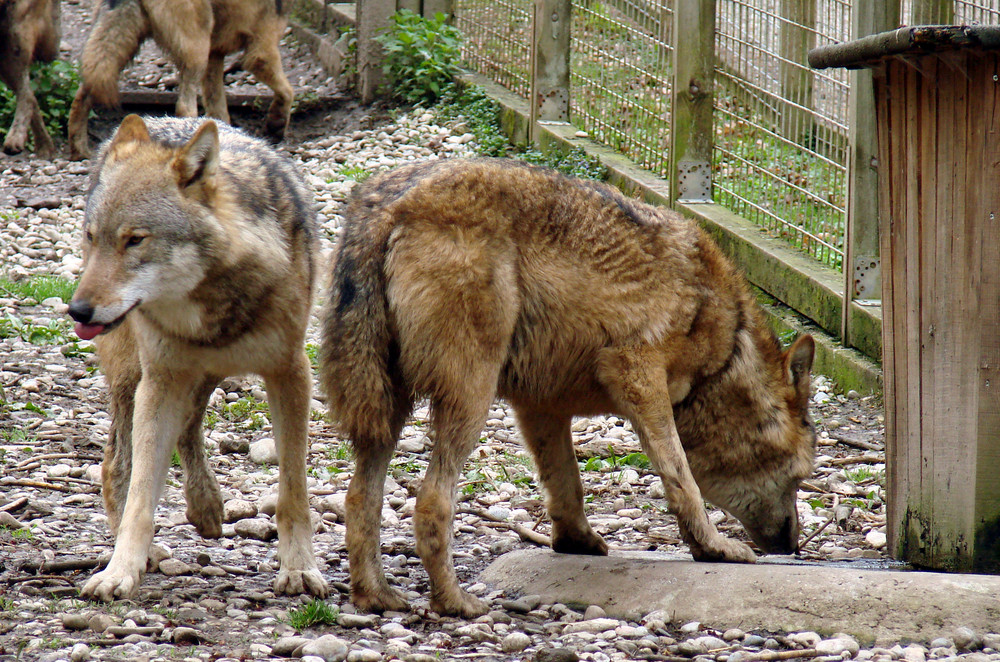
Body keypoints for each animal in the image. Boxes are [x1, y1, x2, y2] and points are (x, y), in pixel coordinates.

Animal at [67, 0, 290, 160]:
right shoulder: (261, 50)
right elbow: (288, 92)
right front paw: (276, 124)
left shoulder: (215, 56)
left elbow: (218, 108)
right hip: (196, 52)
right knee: (184, 107)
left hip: (117, 48)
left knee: (81, 95)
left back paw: (79, 150)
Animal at [70, 116, 328, 604]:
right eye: (93, 238)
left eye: (135, 240)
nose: (77, 311)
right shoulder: (160, 380)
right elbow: (141, 495)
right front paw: (120, 571)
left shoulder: (291, 373)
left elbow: (294, 493)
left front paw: (300, 568)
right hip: (135, 378)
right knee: (116, 463)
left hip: (206, 375)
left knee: (189, 429)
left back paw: (205, 505)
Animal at [322, 158, 820, 620]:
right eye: (798, 476)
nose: (793, 545)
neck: (724, 354)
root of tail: (386, 206)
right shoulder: (638, 374)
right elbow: (682, 480)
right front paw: (712, 547)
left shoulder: (539, 406)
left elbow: (566, 482)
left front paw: (574, 541)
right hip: (470, 399)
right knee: (430, 503)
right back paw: (455, 603)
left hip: (387, 410)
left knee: (359, 497)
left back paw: (376, 595)